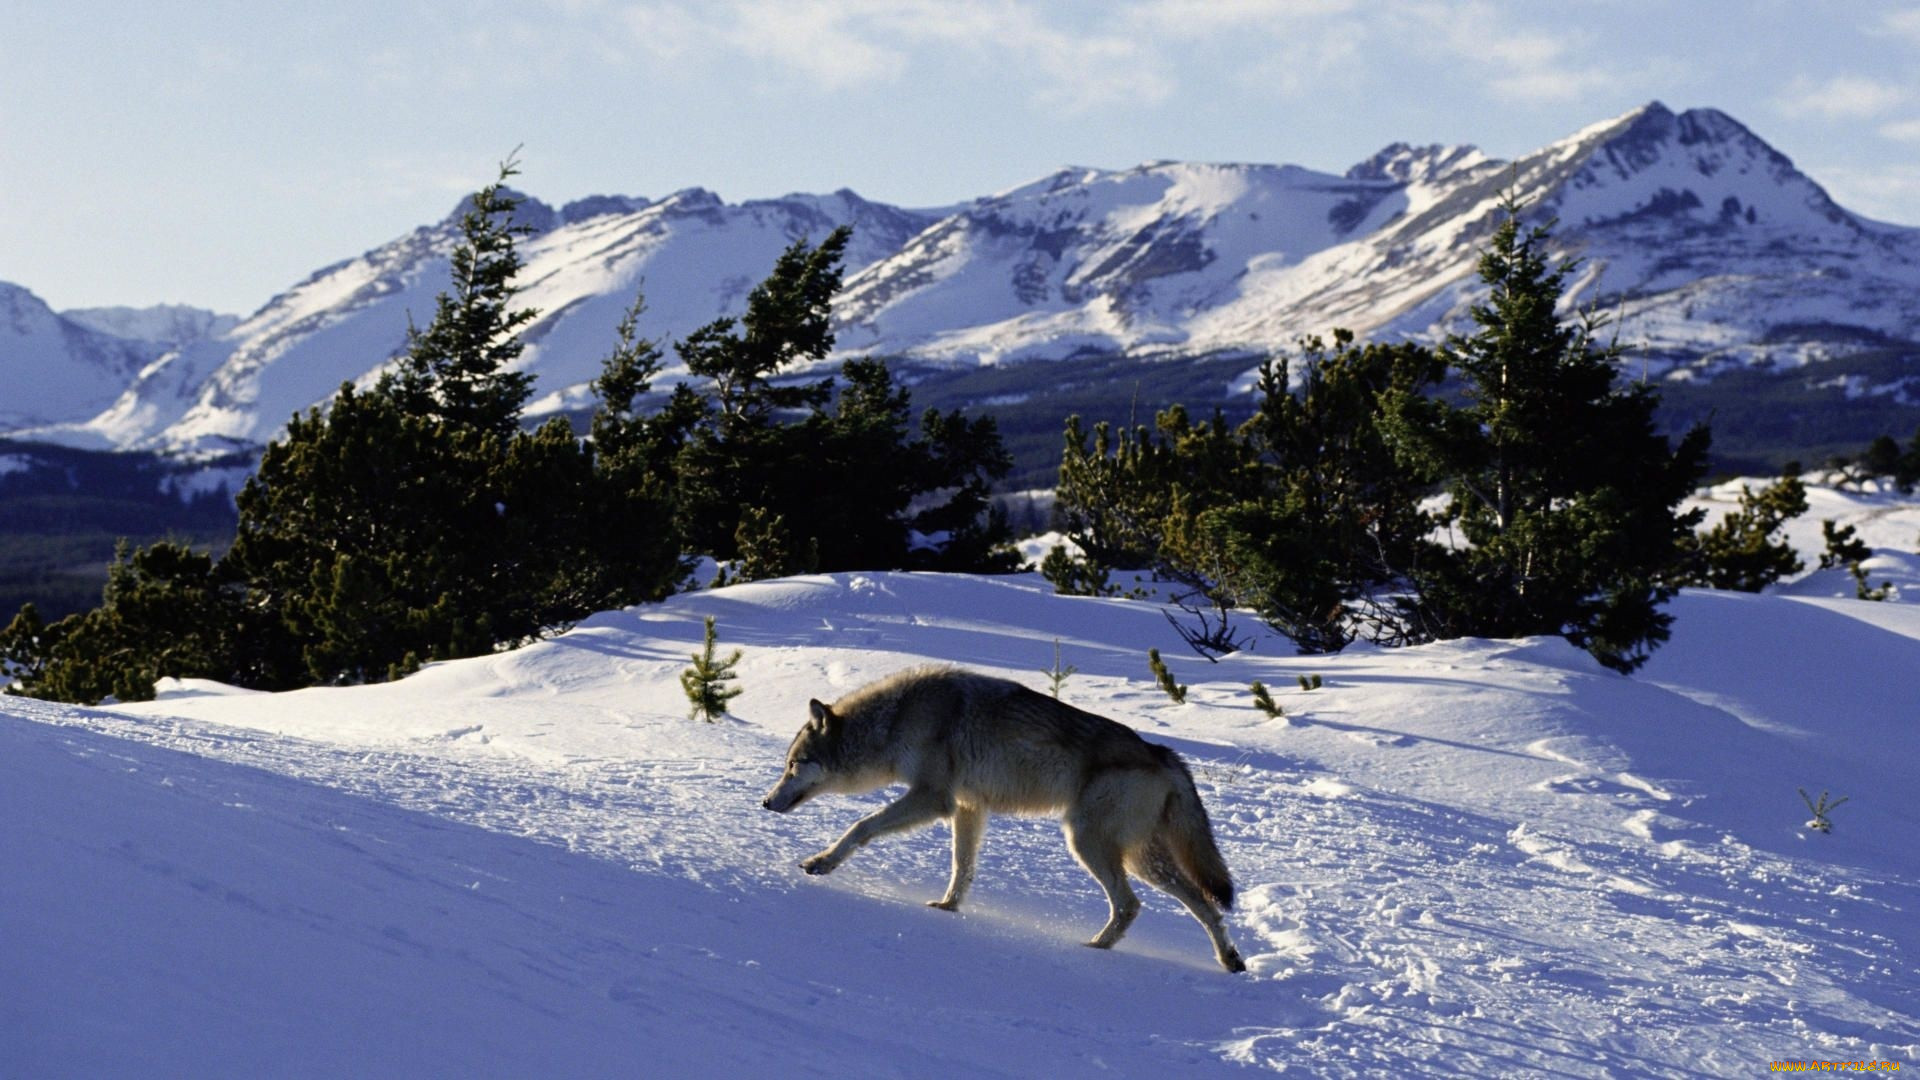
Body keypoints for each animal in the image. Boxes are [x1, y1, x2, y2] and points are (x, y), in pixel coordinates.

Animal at [760, 664, 1244, 968]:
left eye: (793, 765)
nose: (765, 802)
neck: (897, 719)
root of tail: (1162, 754)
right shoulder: (967, 807)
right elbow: (962, 866)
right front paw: (948, 908)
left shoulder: (933, 798)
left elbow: (860, 826)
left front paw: (821, 862)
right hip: (1142, 860)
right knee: (1204, 904)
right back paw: (1230, 960)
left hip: (1089, 844)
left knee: (1130, 905)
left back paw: (1094, 948)